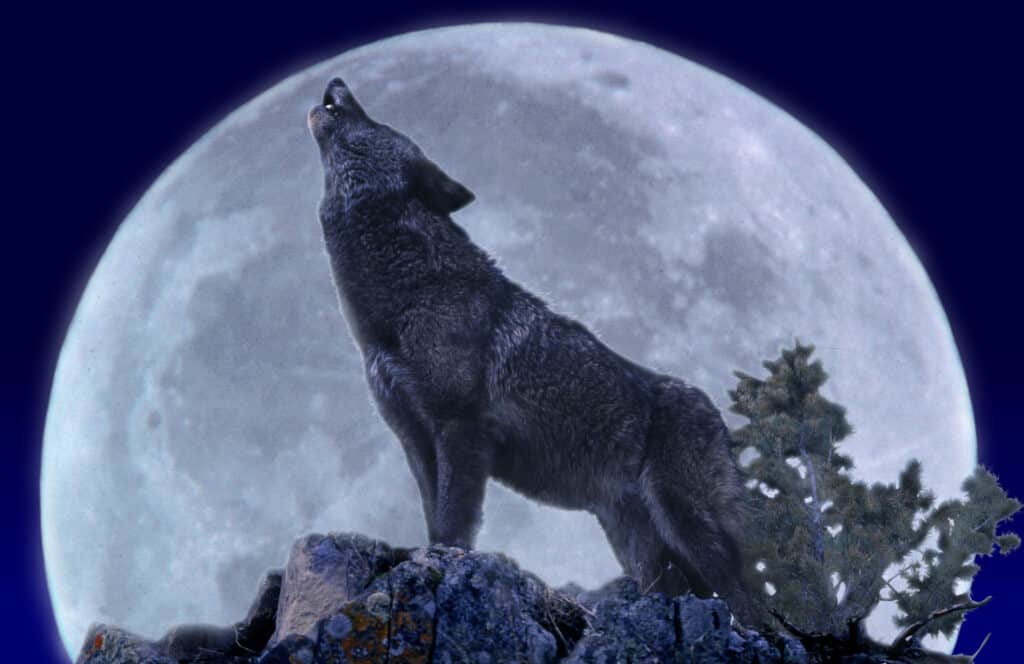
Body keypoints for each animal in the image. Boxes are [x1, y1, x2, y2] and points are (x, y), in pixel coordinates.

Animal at [308, 78, 757, 623]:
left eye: (375, 120)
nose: (337, 82)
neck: (401, 303)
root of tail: (720, 416)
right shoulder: (413, 437)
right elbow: (431, 510)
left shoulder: (460, 428)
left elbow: (454, 517)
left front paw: (444, 560)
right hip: (640, 544)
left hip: (685, 523)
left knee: (747, 601)